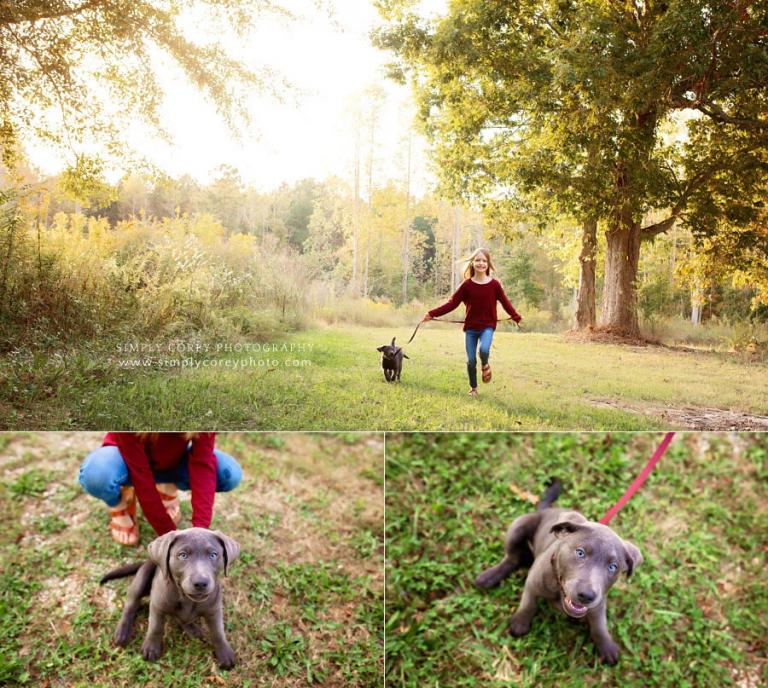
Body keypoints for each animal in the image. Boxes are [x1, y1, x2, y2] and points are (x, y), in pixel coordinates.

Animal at [100, 528, 240, 668]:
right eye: (183, 555)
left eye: (213, 555)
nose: (200, 583)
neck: (187, 599)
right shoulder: (157, 606)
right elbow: (155, 627)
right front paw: (151, 647)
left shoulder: (214, 610)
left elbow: (218, 631)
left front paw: (224, 653)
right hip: (143, 577)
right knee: (131, 605)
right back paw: (122, 632)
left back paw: (192, 629)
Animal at [474, 478, 640, 668]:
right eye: (580, 553)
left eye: (613, 567)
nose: (586, 595)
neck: (559, 591)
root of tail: (546, 510)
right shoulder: (533, 581)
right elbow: (529, 602)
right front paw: (521, 622)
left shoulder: (599, 602)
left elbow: (599, 623)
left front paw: (606, 646)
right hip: (518, 526)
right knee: (512, 558)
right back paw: (489, 577)